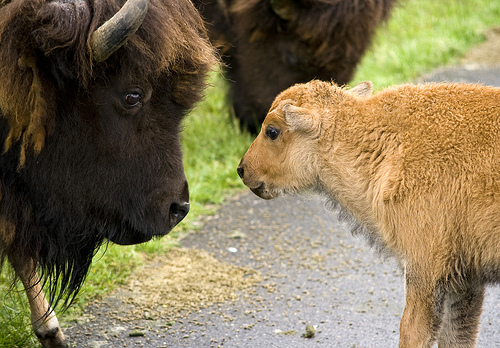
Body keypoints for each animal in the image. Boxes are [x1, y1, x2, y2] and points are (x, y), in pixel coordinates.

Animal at [238, 80, 500, 346]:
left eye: (272, 131)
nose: (242, 169)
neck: (386, 146)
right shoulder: (464, 281)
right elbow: (456, 335)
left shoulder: (426, 269)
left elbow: (412, 331)